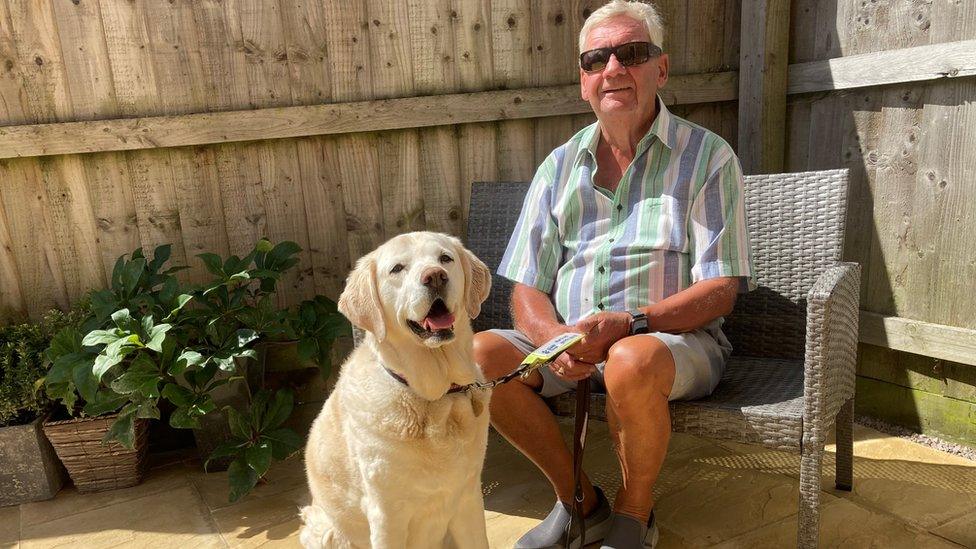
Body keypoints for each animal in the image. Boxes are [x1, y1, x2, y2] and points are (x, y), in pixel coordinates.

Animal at [300, 229, 496, 544]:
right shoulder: (387, 515)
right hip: (326, 530)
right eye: (397, 269)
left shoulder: (468, 499)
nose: (435, 276)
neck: (436, 398)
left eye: (445, 258)